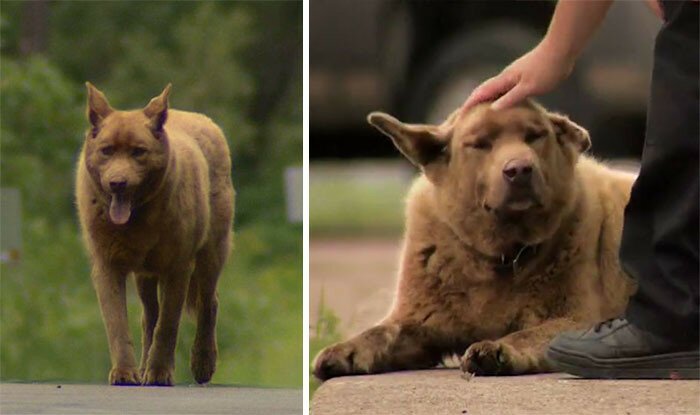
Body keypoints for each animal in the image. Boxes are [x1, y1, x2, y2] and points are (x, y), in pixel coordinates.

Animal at [76, 83, 235, 386]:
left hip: (211, 254)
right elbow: (118, 324)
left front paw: (160, 372)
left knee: (208, 303)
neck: (137, 221)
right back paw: (142, 365)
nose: (117, 183)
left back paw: (202, 363)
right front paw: (125, 372)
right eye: (106, 151)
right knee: (149, 315)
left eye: (139, 152)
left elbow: (168, 325)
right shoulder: (107, 266)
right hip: (145, 276)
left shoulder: (178, 267)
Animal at [312, 101, 636, 380]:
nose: (520, 169)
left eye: (535, 136)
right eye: (480, 144)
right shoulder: (418, 323)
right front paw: (345, 350)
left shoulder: (578, 319)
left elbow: (528, 334)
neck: (502, 255)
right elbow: (380, 332)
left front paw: (498, 349)